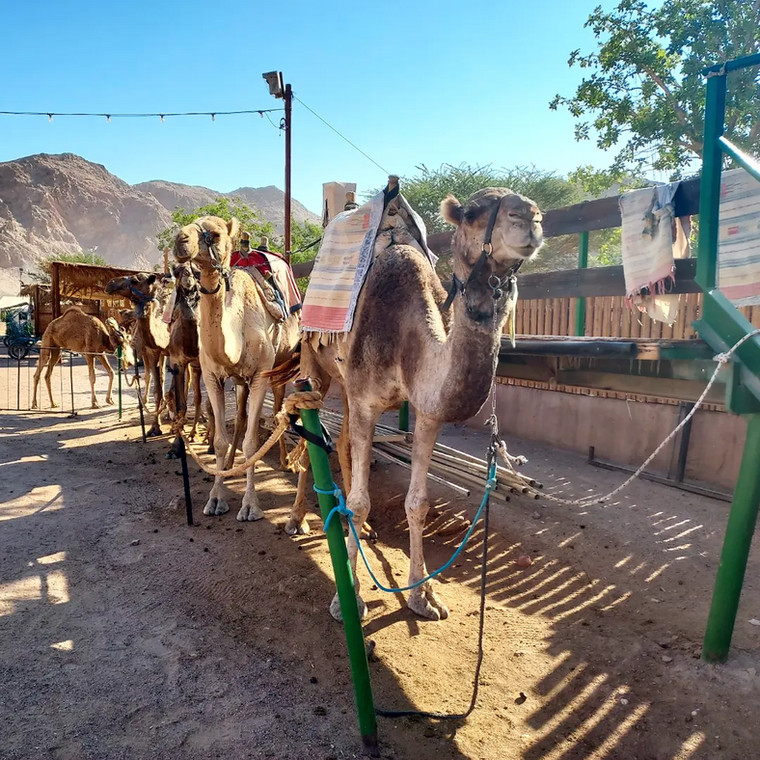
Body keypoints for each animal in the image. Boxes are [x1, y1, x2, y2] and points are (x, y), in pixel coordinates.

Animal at [104, 270, 172, 436]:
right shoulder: (152, 352)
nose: (110, 283)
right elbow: (157, 389)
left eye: (135, 280)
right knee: (157, 377)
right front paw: (154, 427)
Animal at [174, 217, 302, 520]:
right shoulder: (212, 375)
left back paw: (284, 462)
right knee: (242, 416)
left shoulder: (260, 376)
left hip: (279, 368)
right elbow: (220, 439)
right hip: (240, 380)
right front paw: (215, 498)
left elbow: (252, 442)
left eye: (215, 233)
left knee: (277, 410)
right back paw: (232, 464)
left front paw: (250, 506)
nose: (180, 240)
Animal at [288, 187, 544, 620]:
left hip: (346, 384)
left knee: (340, 442)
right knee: (311, 442)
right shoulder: (366, 401)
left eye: (532, 209)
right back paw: (297, 520)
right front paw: (348, 598)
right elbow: (359, 501)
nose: (530, 216)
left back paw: (356, 530)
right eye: (471, 213)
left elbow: (418, 503)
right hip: (317, 367)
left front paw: (423, 597)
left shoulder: (427, 413)